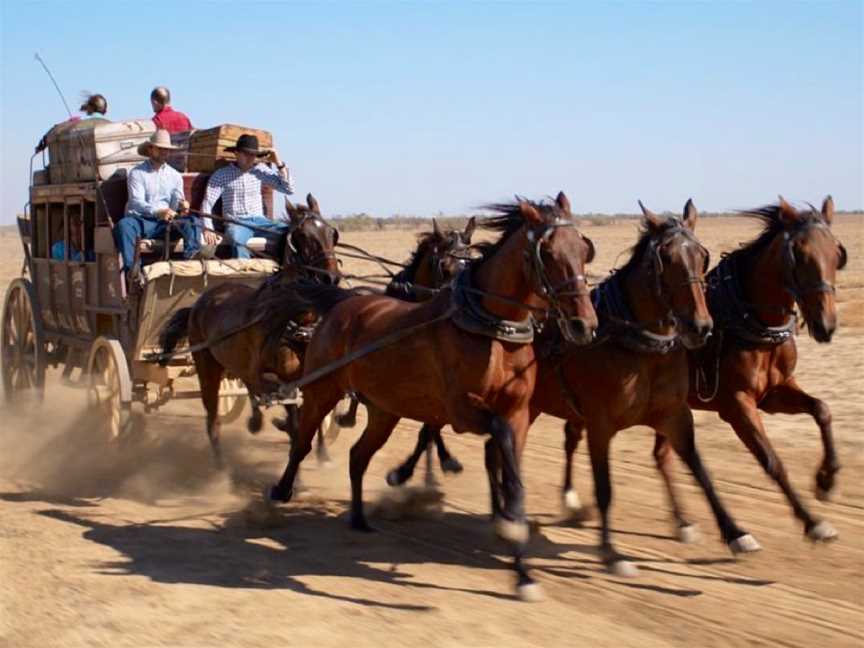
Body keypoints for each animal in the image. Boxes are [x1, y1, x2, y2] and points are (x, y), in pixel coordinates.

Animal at [159, 195, 340, 468]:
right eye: (303, 236)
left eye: (331, 232)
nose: (331, 278)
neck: (294, 323)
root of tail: (199, 303)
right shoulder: (275, 381)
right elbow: (293, 419)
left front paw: (322, 451)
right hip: (207, 368)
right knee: (213, 419)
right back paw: (222, 465)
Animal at [266, 194, 596, 604]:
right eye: (547, 253)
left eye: (583, 249)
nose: (584, 325)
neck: (492, 329)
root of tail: (343, 302)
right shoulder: (462, 409)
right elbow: (489, 437)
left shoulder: (518, 413)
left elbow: (514, 477)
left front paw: (521, 566)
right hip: (321, 389)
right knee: (303, 440)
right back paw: (281, 491)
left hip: (385, 410)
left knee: (358, 455)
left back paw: (359, 517)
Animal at [528, 200, 764, 576]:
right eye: (665, 258)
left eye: (702, 255)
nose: (700, 326)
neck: (640, 346)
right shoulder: (600, 424)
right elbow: (605, 487)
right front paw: (610, 552)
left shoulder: (675, 415)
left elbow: (700, 471)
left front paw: (735, 533)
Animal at [636, 196, 848, 540]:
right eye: (799, 254)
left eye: (836, 252)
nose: (825, 325)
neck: (755, 324)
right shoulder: (737, 404)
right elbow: (771, 461)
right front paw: (812, 521)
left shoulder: (773, 393)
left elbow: (822, 409)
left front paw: (827, 480)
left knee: (662, 455)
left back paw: (683, 522)